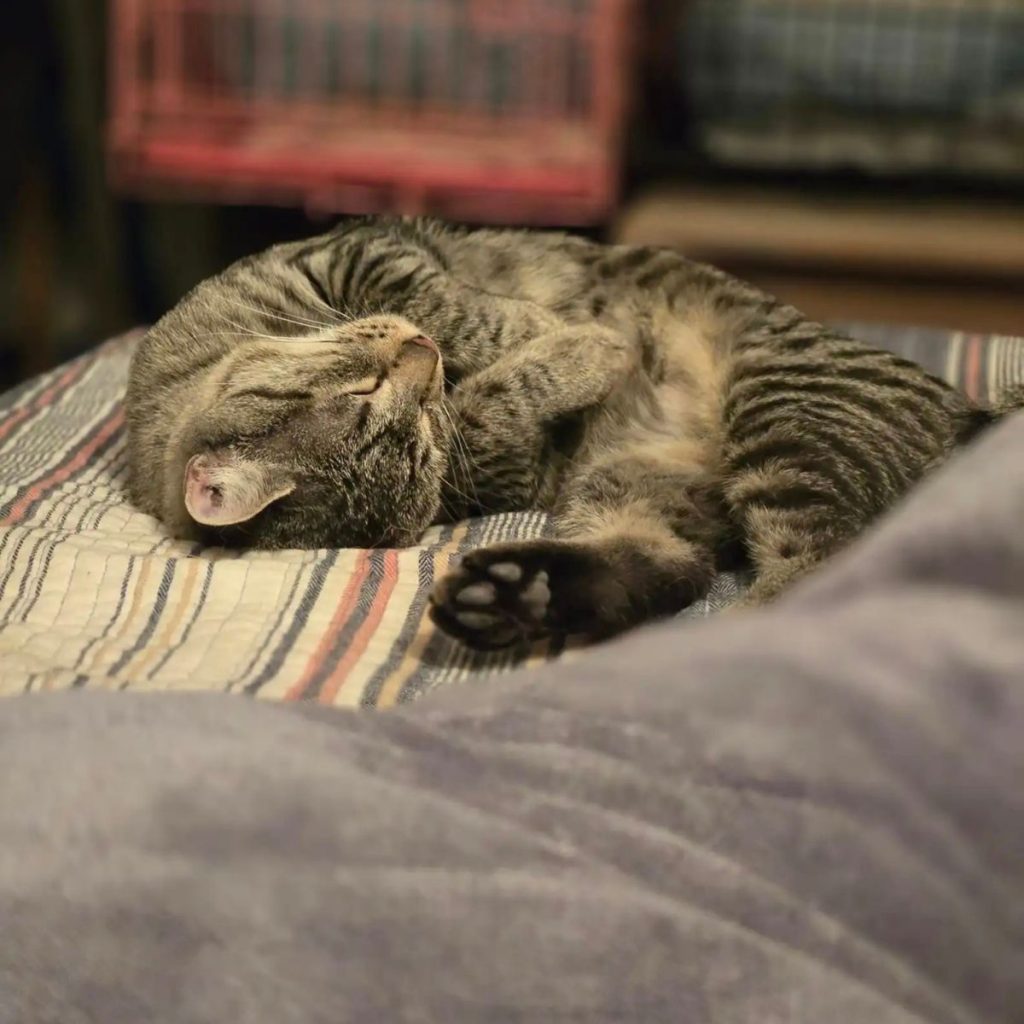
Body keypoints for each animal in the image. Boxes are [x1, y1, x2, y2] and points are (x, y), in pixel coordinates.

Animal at [128, 216, 1024, 647]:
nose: (422, 359)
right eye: (384, 411)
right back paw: (520, 598)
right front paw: (579, 346)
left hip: (782, 420)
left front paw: (561, 331)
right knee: (703, 573)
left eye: (368, 387)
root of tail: (969, 412)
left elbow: (462, 309)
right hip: (660, 476)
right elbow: (501, 384)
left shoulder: (365, 252)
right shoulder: (495, 458)